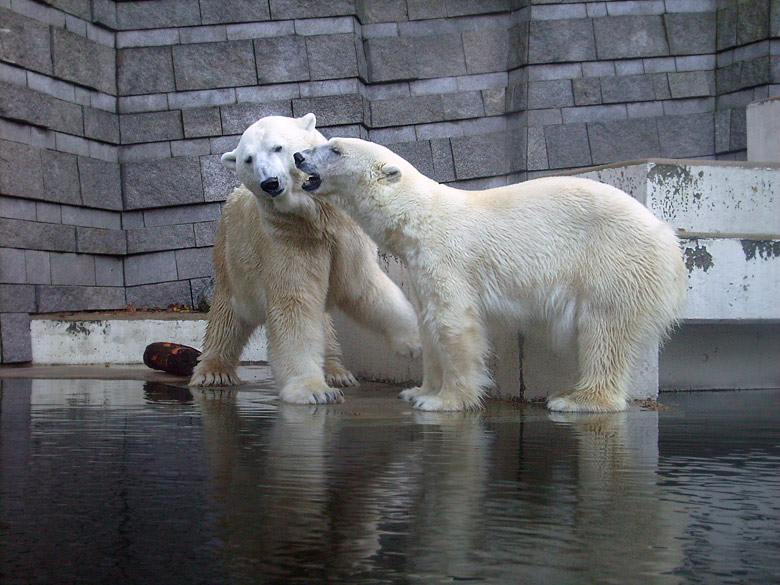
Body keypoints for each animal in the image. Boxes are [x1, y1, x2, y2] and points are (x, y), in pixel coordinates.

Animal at [189, 116, 420, 404]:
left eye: (277, 147)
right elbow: (295, 304)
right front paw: (312, 390)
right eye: (248, 159)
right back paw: (213, 373)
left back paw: (336, 372)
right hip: (232, 258)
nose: (270, 182)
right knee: (227, 317)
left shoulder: (345, 232)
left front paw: (412, 341)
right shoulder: (288, 236)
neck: (315, 219)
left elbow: (364, 285)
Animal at [294, 137, 688, 410]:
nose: (298, 156)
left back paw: (577, 400)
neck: (418, 217)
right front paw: (418, 391)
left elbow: (453, 322)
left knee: (604, 330)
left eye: (335, 149)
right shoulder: (419, 266)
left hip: (614, 262)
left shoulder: (446, 256)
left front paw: (445, 400)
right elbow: (427, 322)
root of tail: (669, 241)